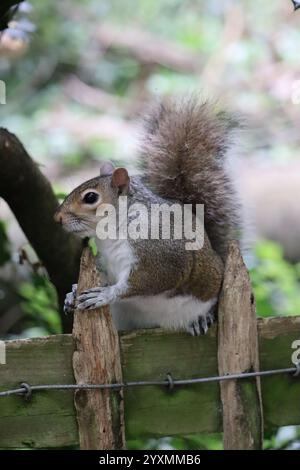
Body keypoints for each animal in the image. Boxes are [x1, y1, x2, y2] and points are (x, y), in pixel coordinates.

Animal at [54, 97, 241, 336]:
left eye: (90, 197)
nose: (58, 218)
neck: (113, 231)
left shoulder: (162, 255)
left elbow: (142, 282)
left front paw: (105, 294)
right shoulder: (106, 260)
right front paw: (72, 293)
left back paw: (201, 319)